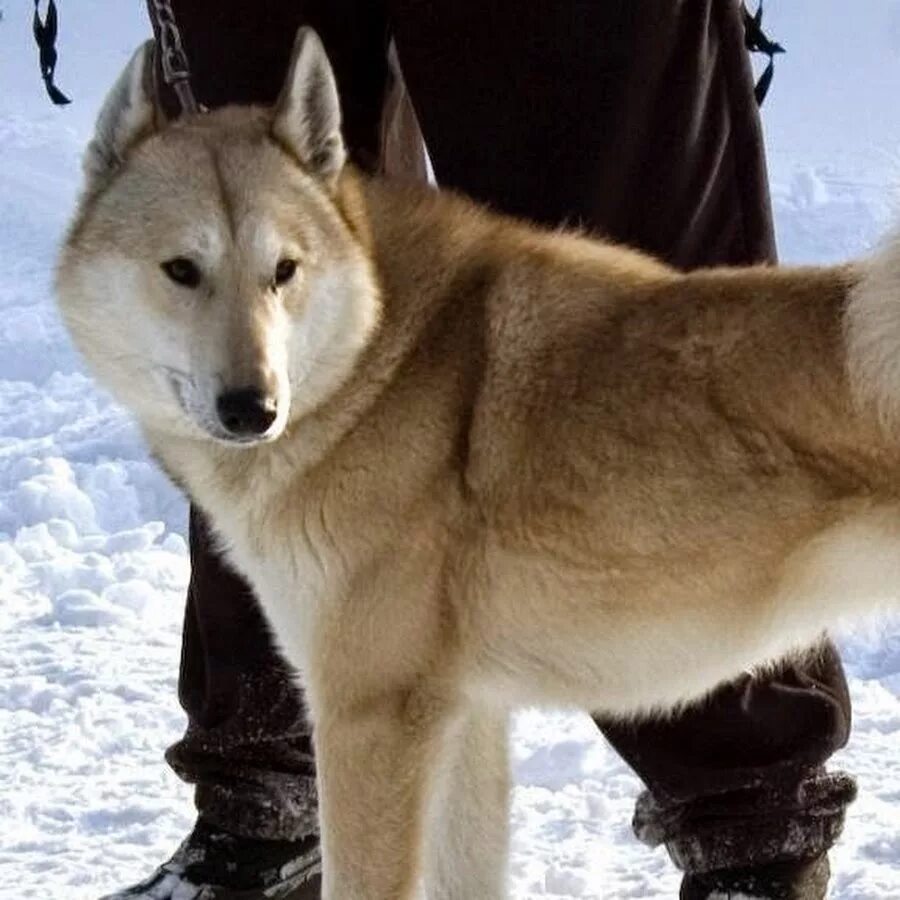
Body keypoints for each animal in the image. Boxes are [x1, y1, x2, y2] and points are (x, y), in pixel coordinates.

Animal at [56, 28, 900, 900]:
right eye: (181, 270)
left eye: (284, 271)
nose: (251, 409)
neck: (376, 359)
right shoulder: (463, 717)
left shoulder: (370, 715)